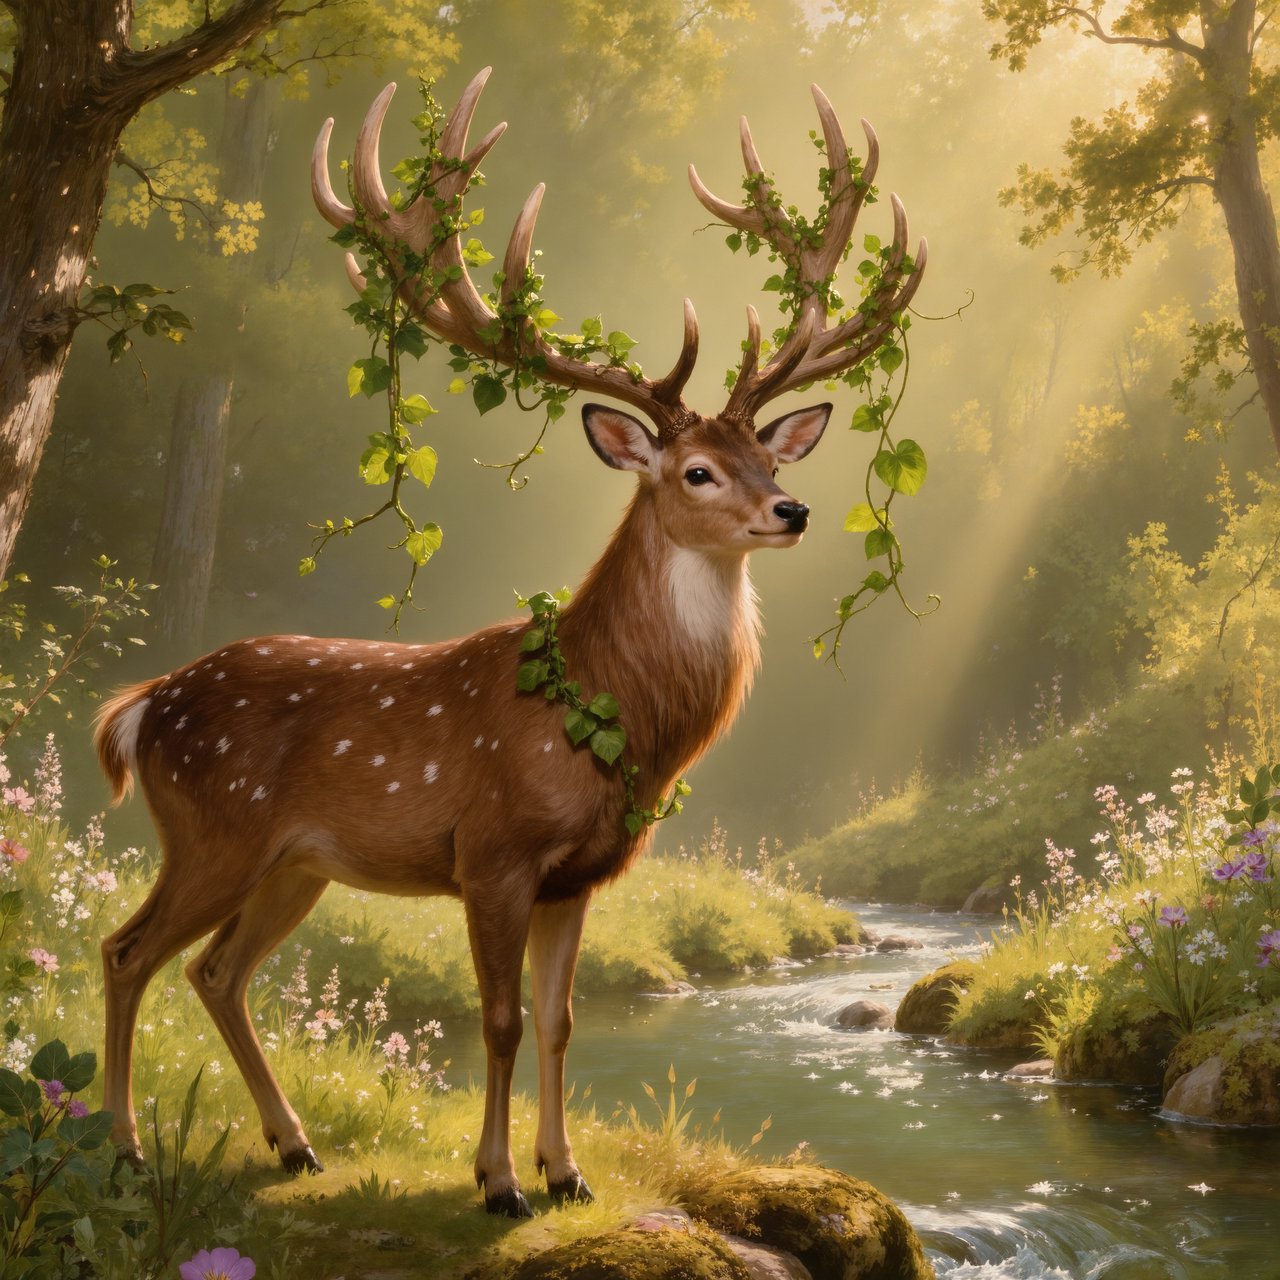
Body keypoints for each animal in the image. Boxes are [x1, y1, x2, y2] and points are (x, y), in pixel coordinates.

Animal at [93, 67, 924, 1218]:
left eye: (769, 453)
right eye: (696, 471)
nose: (791, 509)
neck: (604, 719)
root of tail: (139, 708)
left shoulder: (577, 876)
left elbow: (563, 1020)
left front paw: (565, 1171)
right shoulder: (491, 851)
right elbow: (498, 1020)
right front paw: (496, 1184)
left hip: (292, 862)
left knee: (214, 970)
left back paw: (294, 1146)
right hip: (211, 828)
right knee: (125, 950)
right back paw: (127, 1150)